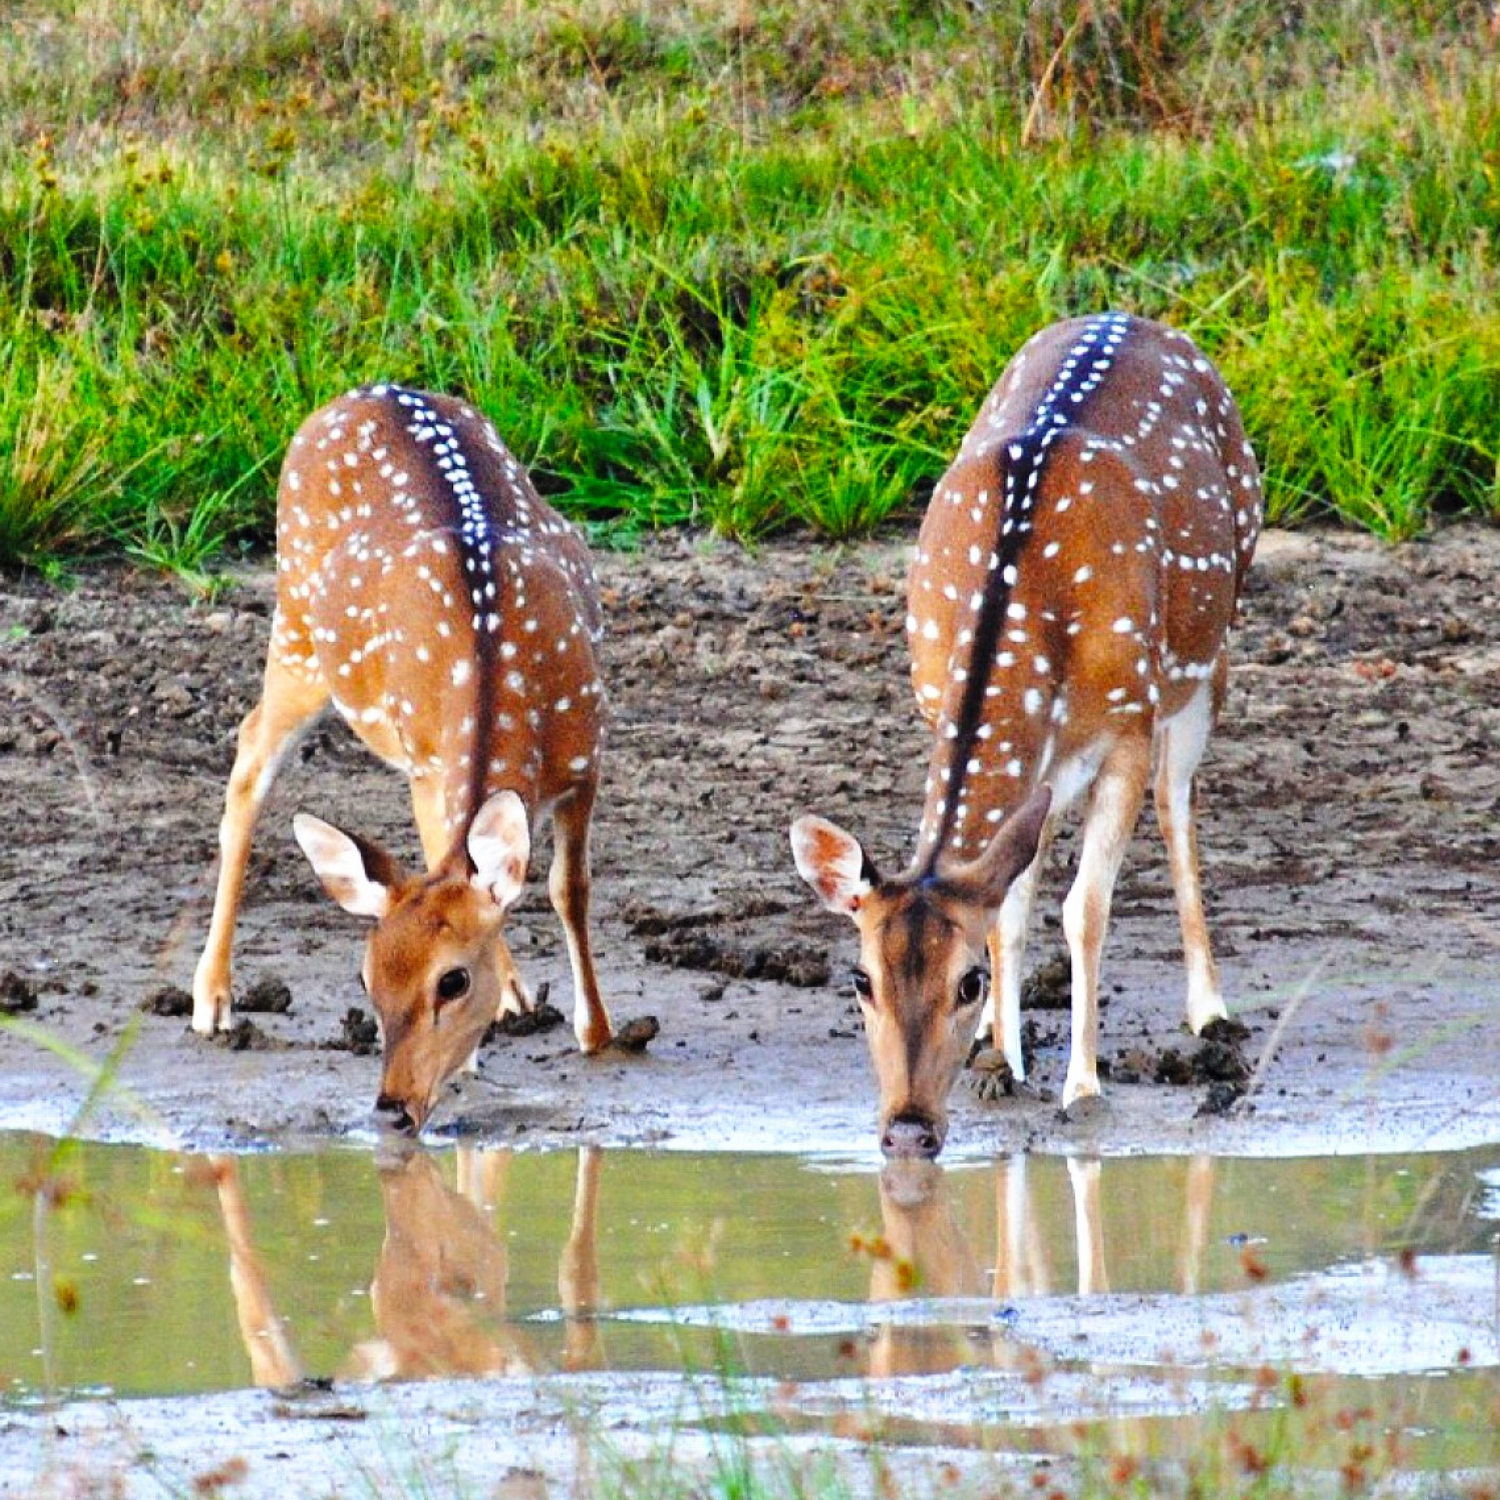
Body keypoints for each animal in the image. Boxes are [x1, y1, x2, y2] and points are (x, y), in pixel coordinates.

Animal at [191, 384, 618, 1133]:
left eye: (452, 980)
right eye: (364, 980)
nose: (391, 1106)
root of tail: (365, 390)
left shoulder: (587, 753)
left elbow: (568, 888)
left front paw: (595, 1030)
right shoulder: (427, 762)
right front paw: (484, 1054)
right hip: (299, 632)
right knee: (249, 752)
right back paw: (211, 999)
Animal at [792, 312, 1261, 1157]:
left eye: (966, 982)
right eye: (860, 979)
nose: (907, 1129)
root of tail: (1136, 316)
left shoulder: (1129, 723)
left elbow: (1085, 908)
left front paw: (1083, 1088)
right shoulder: (942, 705)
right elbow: (1009, 901)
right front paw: (1001, 1063)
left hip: (1208, 649)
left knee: (1177, 800)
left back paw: (1210, 1011)